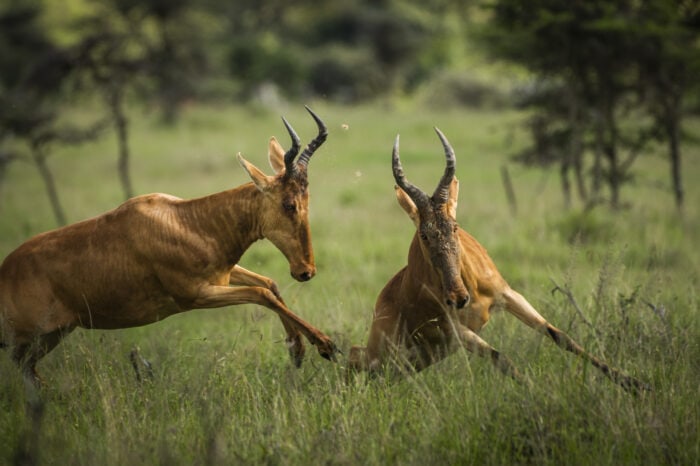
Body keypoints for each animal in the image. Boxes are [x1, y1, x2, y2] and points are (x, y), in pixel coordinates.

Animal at [0, 106, 340, 386]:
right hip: (27, 338)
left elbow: (270, 284)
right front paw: (325, 345)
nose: (305, 271)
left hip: (50, 336)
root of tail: (6, 269)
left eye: (306, 199)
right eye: (288, 204)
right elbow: (262, 293)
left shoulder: (223, 275)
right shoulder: (196, 296)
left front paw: (297, 349)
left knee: (30, 374)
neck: (185, 220)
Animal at [350, 128, 652, 394]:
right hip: (396, 353)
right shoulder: (454, 330)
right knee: (356, 359)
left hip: (421, 358)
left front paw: (637, 385)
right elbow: (502, 358)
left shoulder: (508, 296)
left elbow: (559, 335)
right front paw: (541, 394)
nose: (457, 298)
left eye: (454, 226)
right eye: (424, 234)